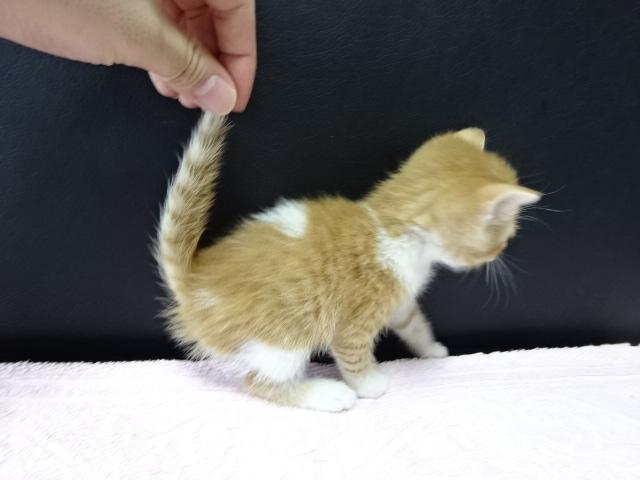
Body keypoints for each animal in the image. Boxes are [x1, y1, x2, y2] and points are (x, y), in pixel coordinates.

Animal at [156, 113, 540, 412]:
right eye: (503, 238)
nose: (501, 253)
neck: (390, 227)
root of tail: (193, 283)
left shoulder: (399, 298)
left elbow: (413, 322)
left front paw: (431, 348)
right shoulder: (355, 317)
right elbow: (353, 354)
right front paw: (369, 385)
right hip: (280, 337)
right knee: (256, 381)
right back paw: (326, 395)